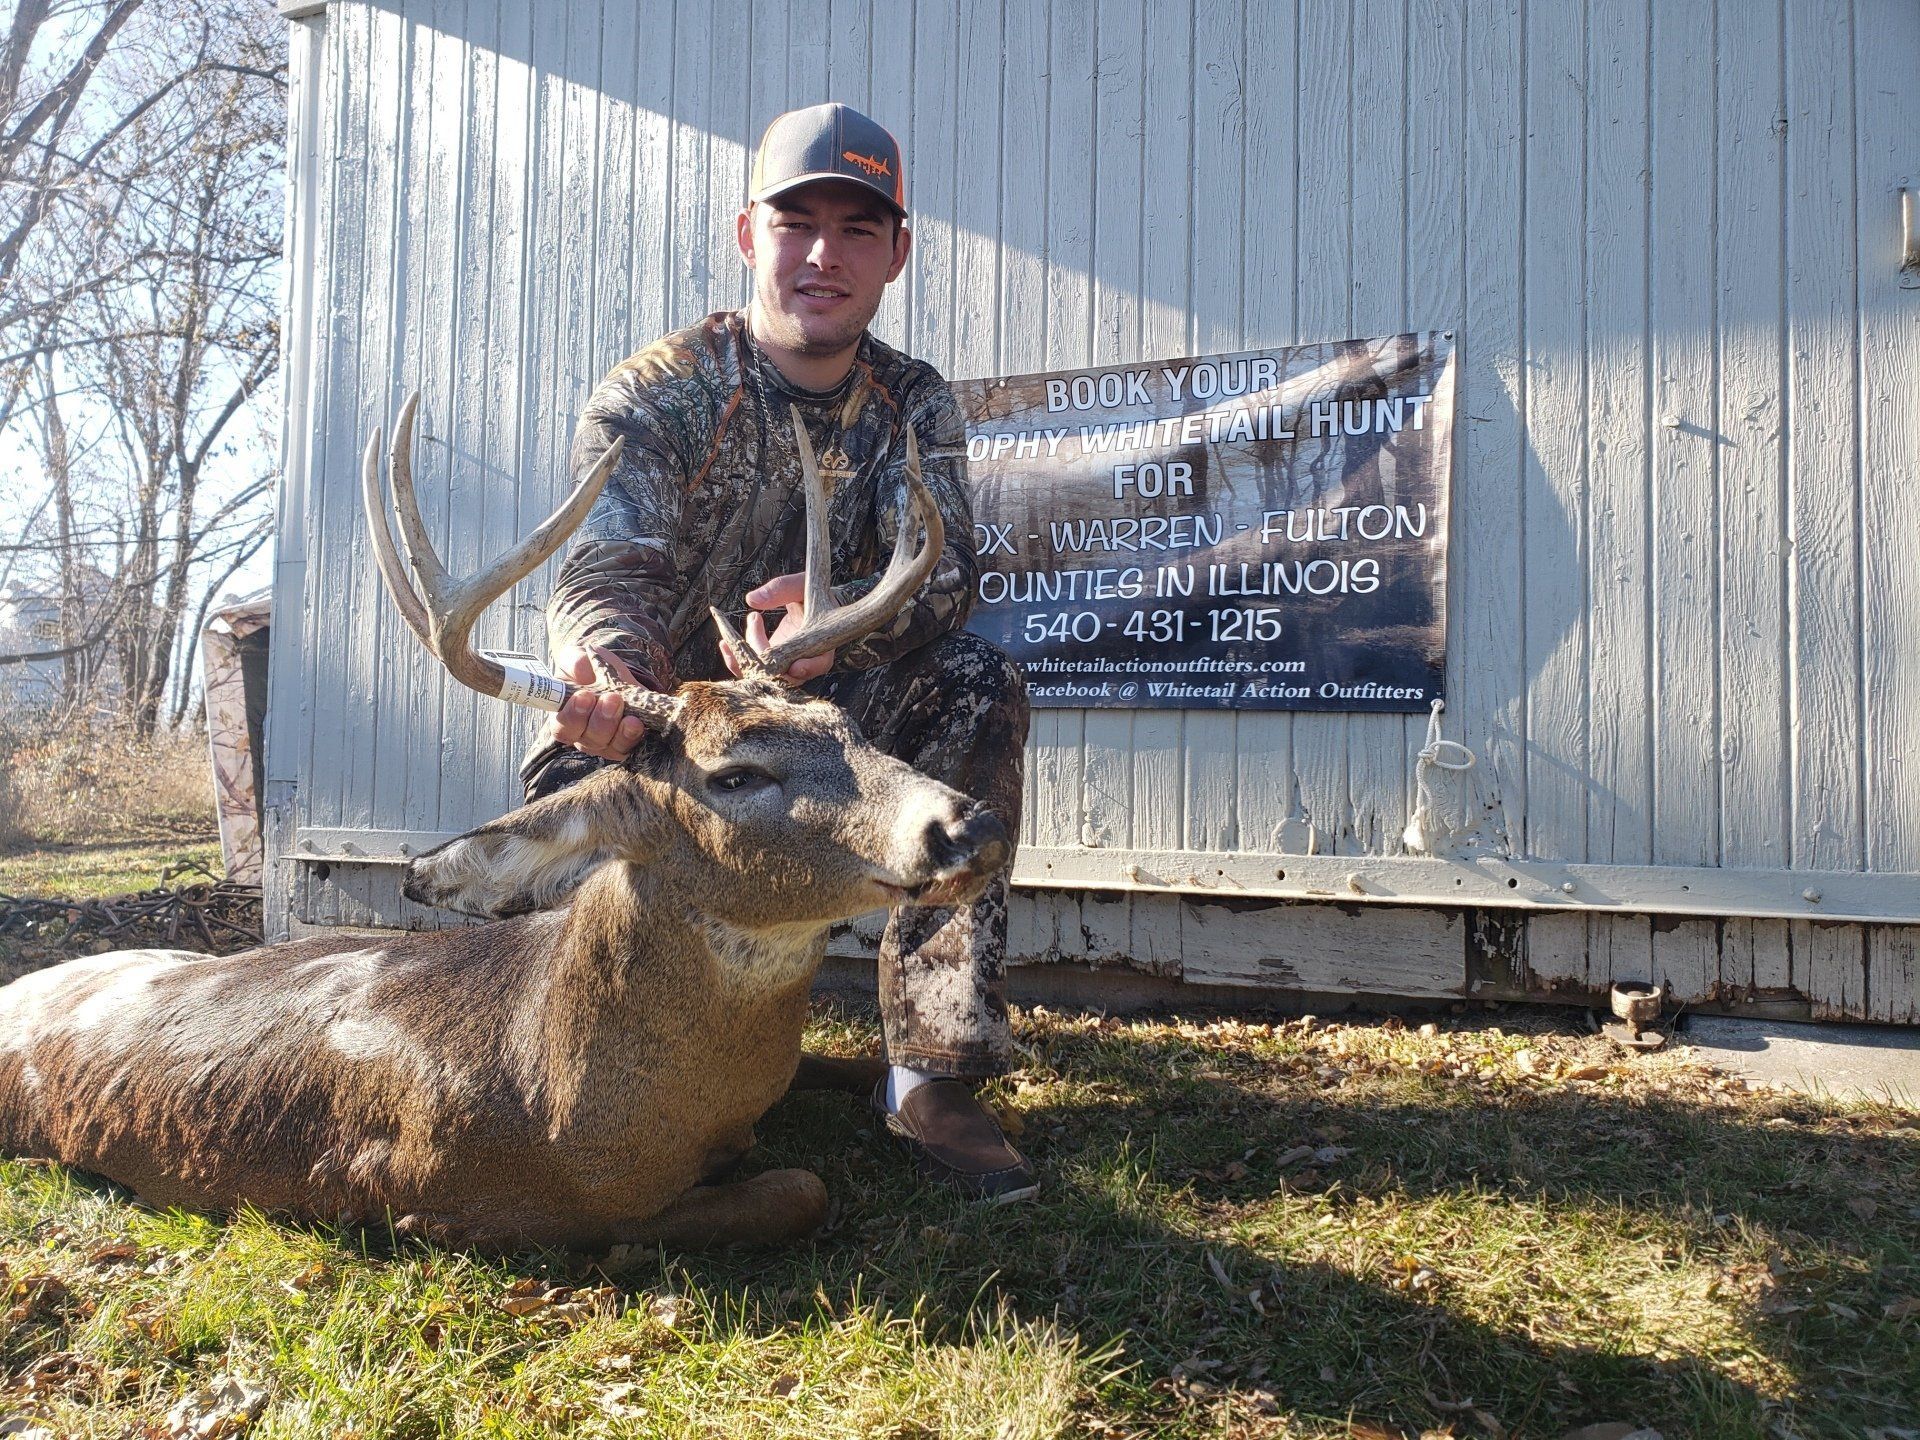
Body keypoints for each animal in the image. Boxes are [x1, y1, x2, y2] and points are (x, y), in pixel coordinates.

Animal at [0, 394, 1010, 1252]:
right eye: (735, 774)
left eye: (850, 728)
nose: (969, 825)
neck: (560, 1064)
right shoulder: (513, 1203)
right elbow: (801, 1189)